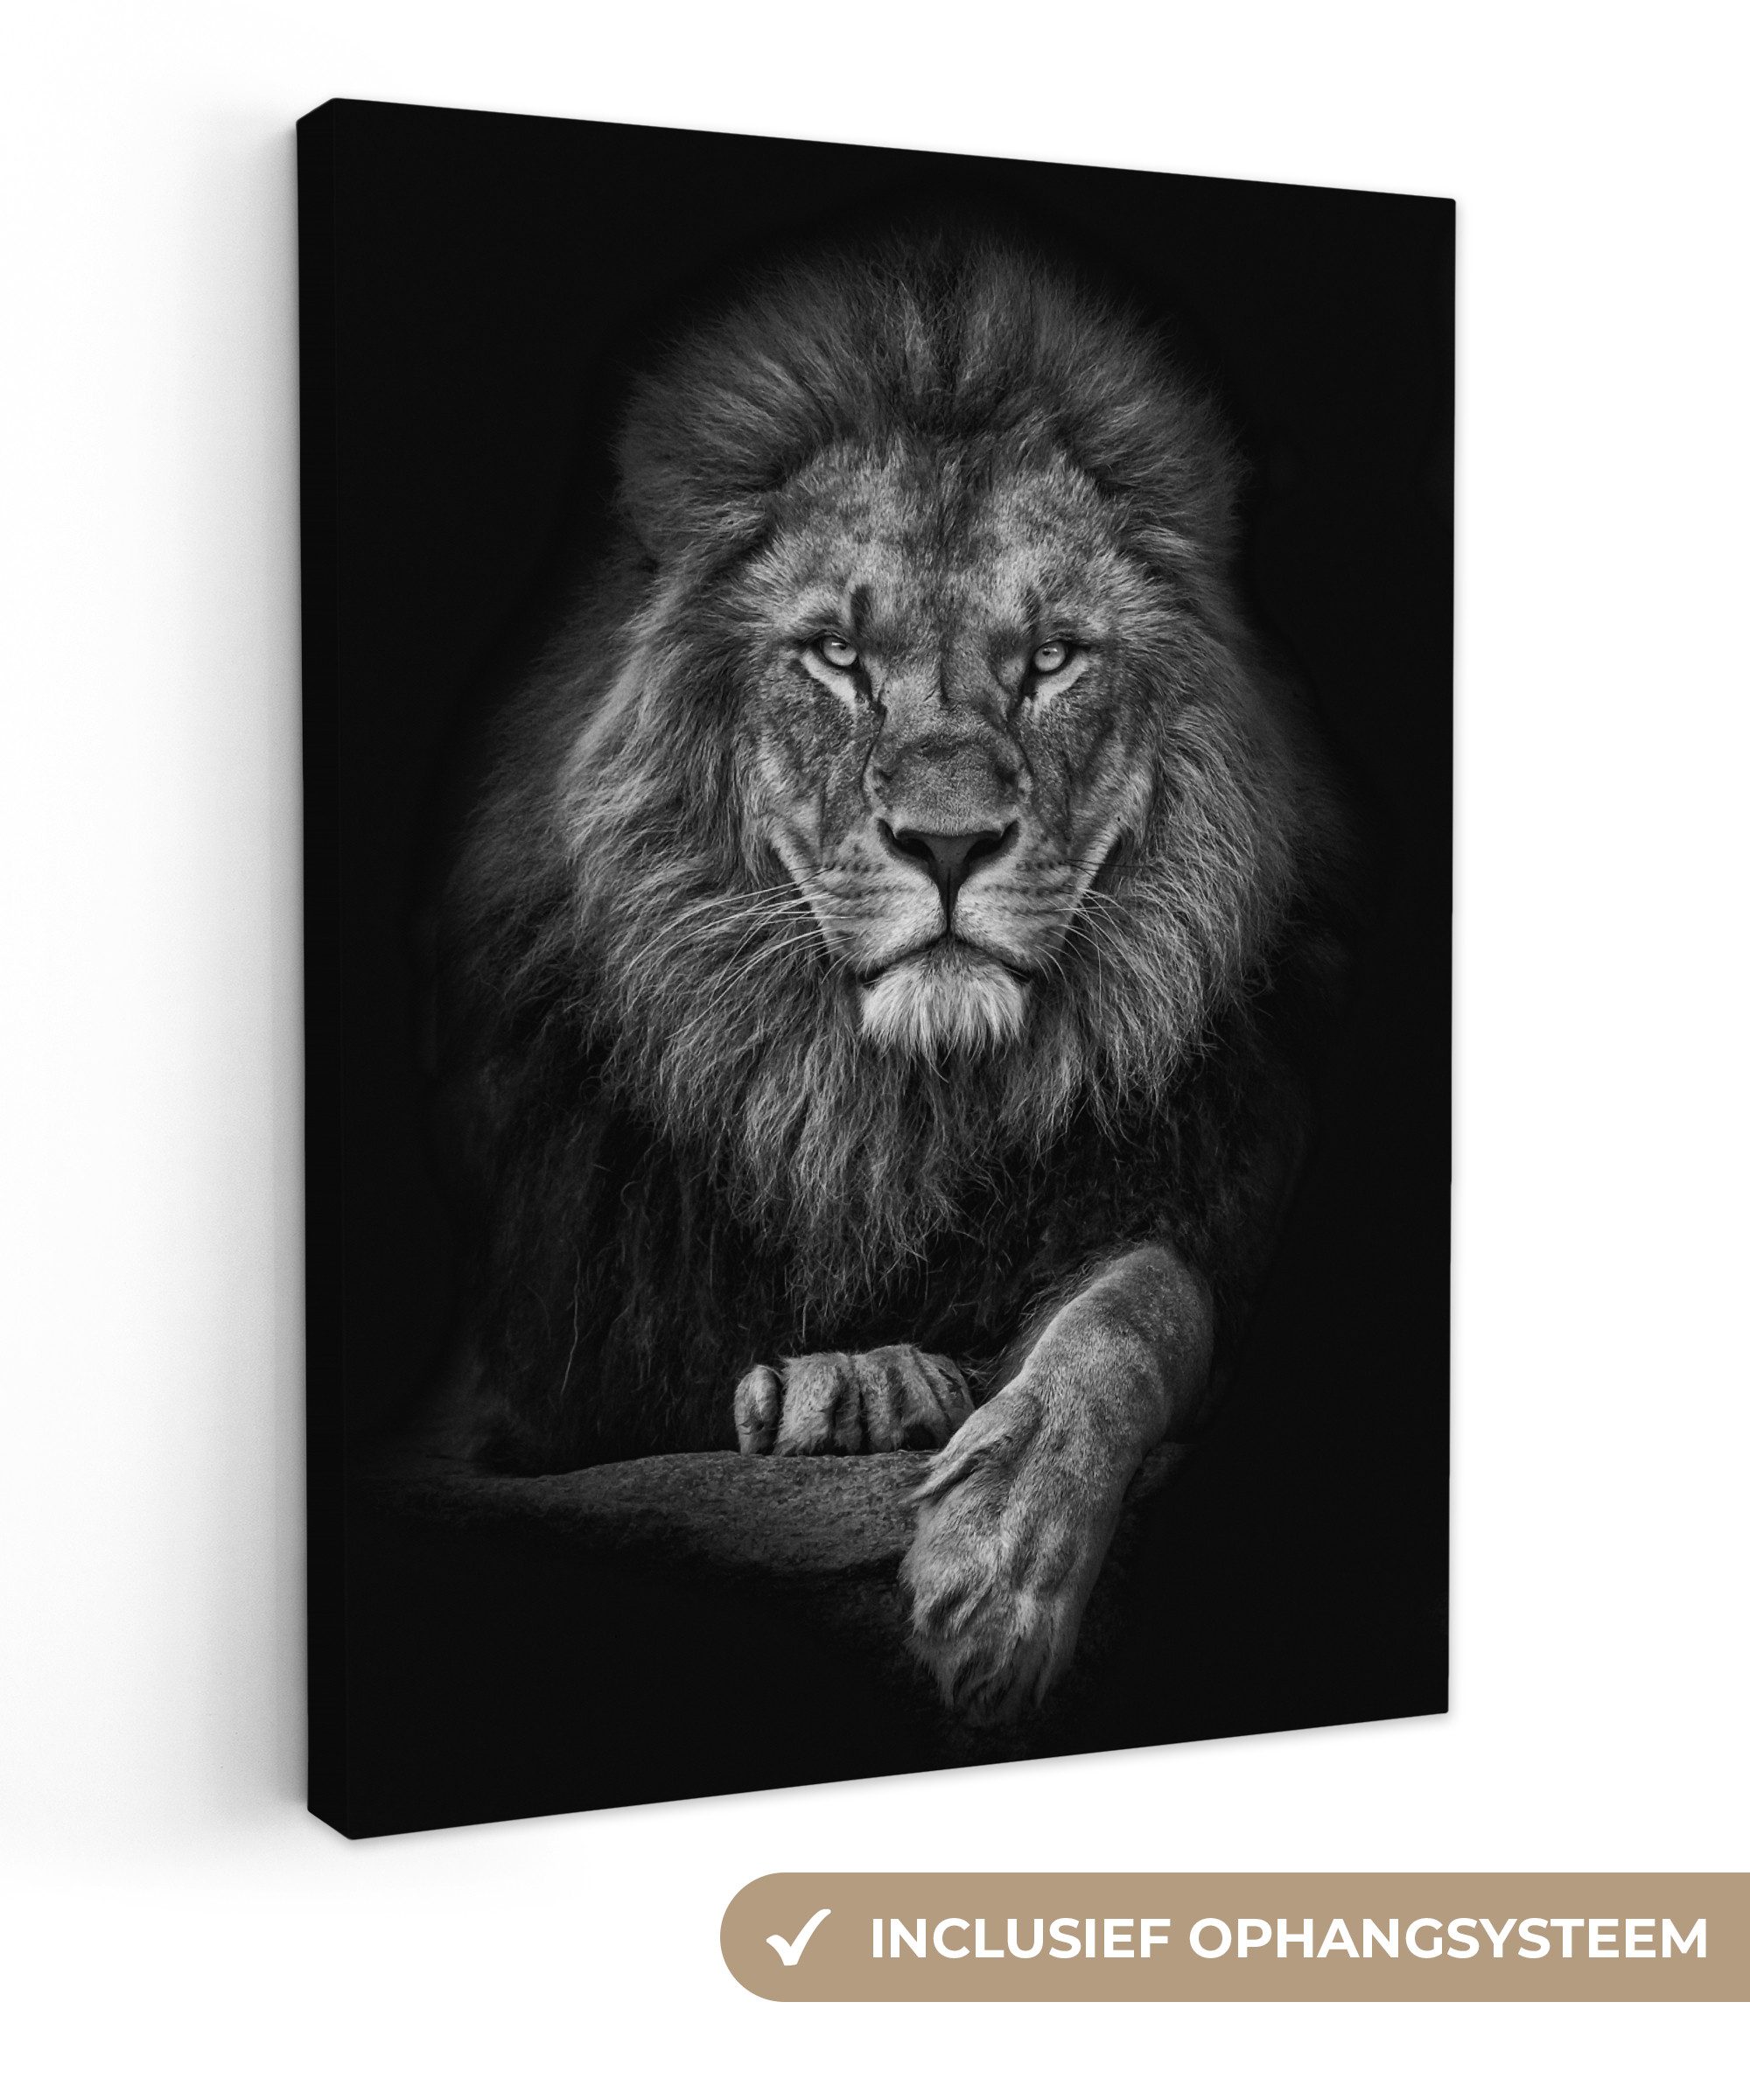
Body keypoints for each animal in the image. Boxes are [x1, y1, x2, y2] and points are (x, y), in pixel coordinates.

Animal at [434, 227, 1353, 1725]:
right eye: (836, 656)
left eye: (1052, 658)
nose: (950, 841)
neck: (887, 1114)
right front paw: (852, 1388)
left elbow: (1141, 1303)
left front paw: (1000, 1565)